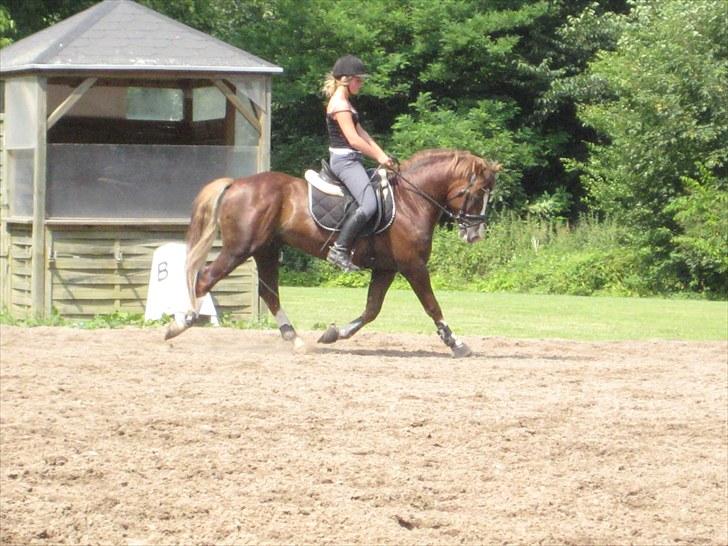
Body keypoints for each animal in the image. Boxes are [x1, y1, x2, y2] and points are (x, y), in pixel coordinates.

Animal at [165, 148, 501, 358]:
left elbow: (371, 310)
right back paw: (179, 324)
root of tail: (236, 184)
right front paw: (456, 343)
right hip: (239, 249)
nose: (476, 234)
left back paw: (296, 340)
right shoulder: (413, 266)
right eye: (478, 193)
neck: (410, 199)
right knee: (205, 279)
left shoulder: (387, 268)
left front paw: (333, 333)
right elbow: (432, 306)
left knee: (269, 293)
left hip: (266, 250)